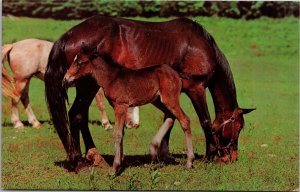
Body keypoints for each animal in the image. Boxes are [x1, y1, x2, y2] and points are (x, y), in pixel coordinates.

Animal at [1, 38, 139, 130]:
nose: (135, 125)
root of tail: (13, 45)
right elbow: (101, 104)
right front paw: (107, 124)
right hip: (22, 80)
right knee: (15, 98)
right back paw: (18, 123)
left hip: (26, 79)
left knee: (24, 98)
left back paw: (35, 122)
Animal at [62, 47, 196, 172]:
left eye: (80, 62)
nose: (65, 79)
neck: (112, 78)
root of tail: (176, 74)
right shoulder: (119, 107)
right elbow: (122, 132)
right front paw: (121, 162)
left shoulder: (120, 106)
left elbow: (117, 133)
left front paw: (115, 167)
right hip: (158, 100)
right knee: (170, 117)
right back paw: (153, 150)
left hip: (170, 100)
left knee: (185, 120)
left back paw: (189, 162)